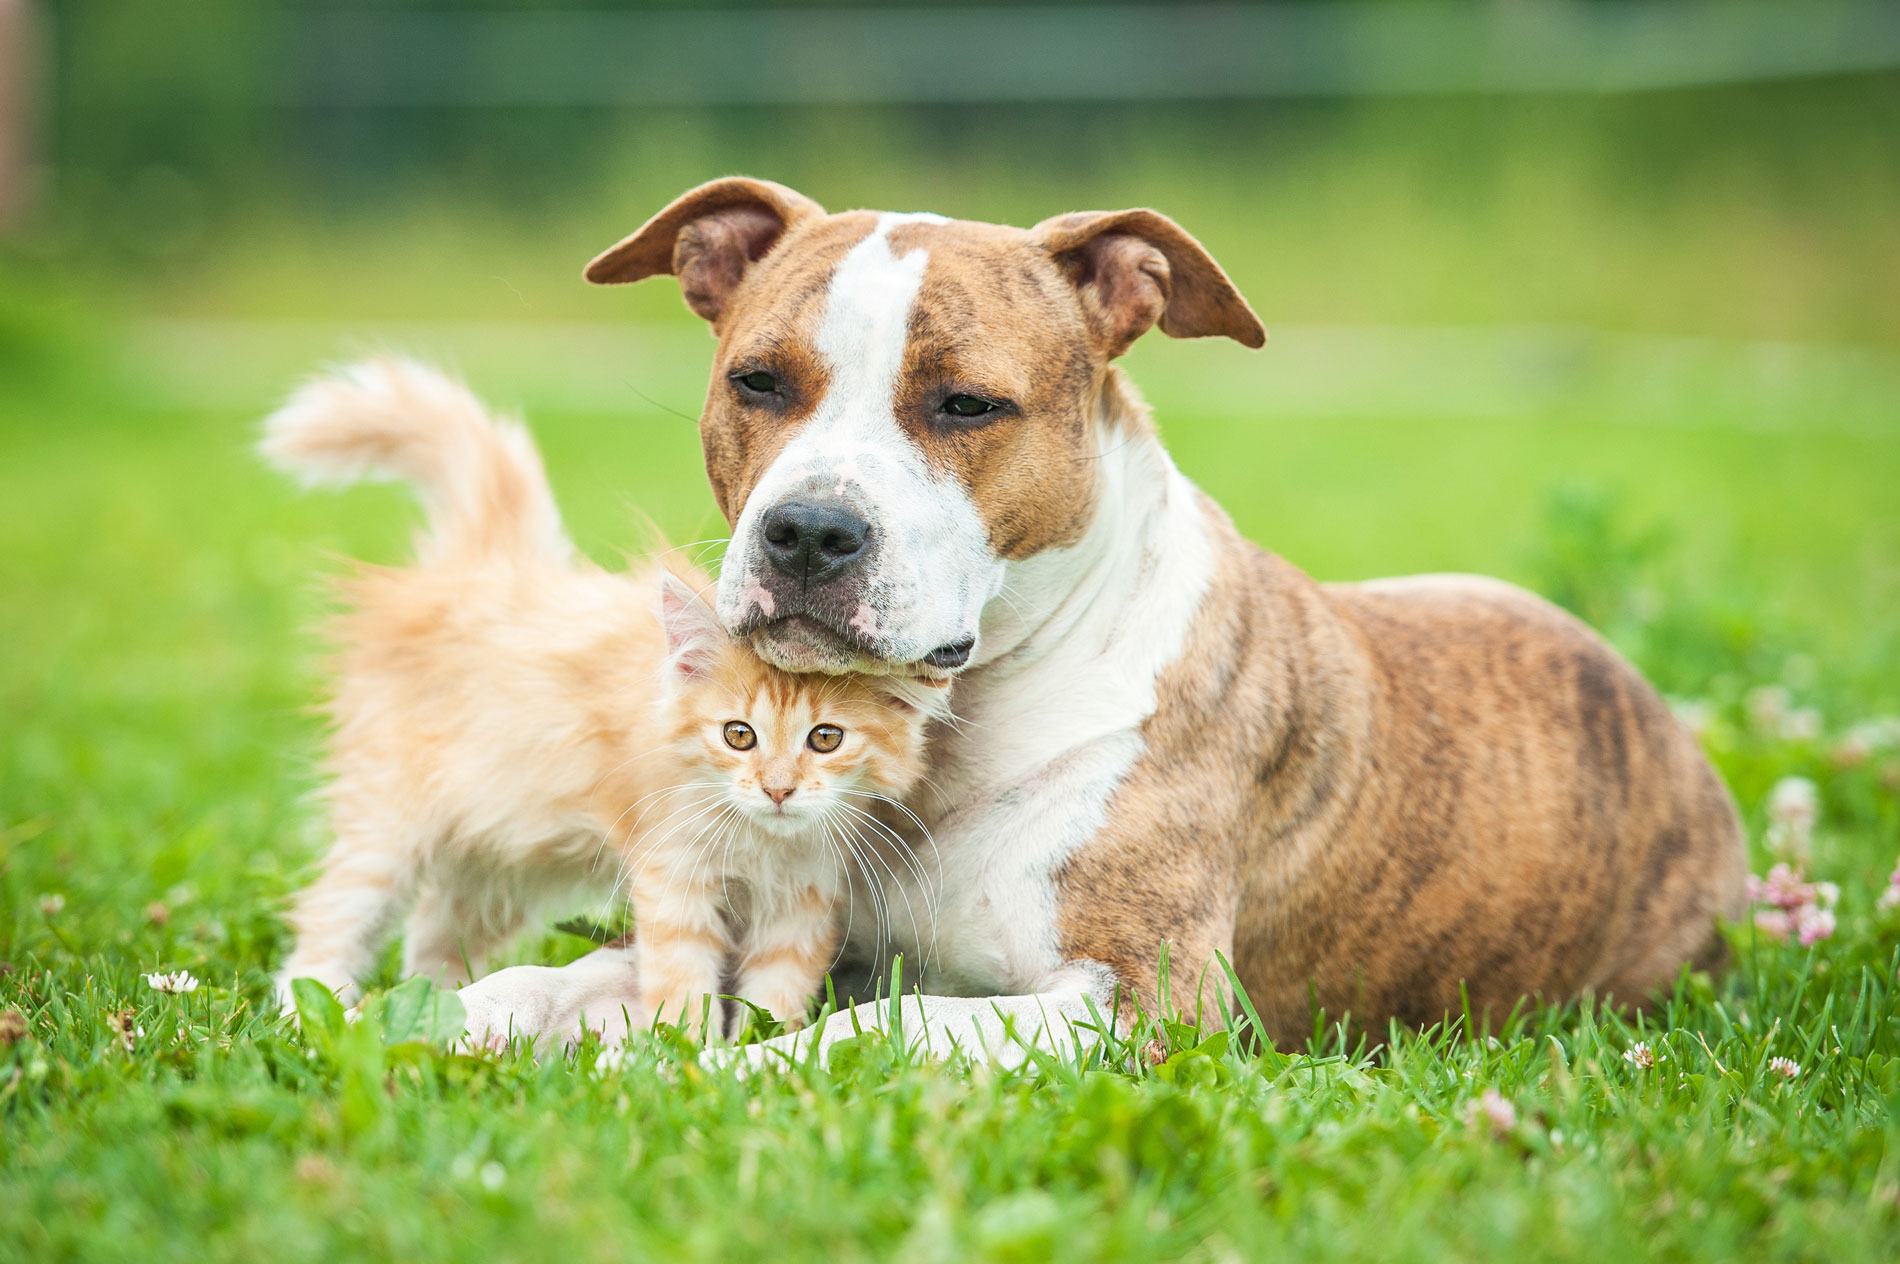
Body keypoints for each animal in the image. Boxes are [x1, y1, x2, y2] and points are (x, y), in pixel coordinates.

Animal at [264, 359, 946, 1034]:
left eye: (825, 739)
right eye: (738, 735)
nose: (778, 790)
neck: (760, 841)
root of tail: (484, 565)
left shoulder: (802, 901)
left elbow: (774, 998)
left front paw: (758, 1047)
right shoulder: (672, 876)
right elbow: (683, 985)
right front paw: (688, 1051)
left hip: (495, 852)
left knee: (435, 934)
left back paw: (437, 1004)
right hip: (392, 822)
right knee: (332, 917)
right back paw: (309, 1012)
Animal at [452, 177, 1740, 1056]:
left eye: (967, 404)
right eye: (757, 382)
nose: (808, 533)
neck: (946, 728)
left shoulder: (1143, 1001)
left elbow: (880, 1027)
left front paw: (735, 1073)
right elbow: (538, 983)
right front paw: (432, 1026)